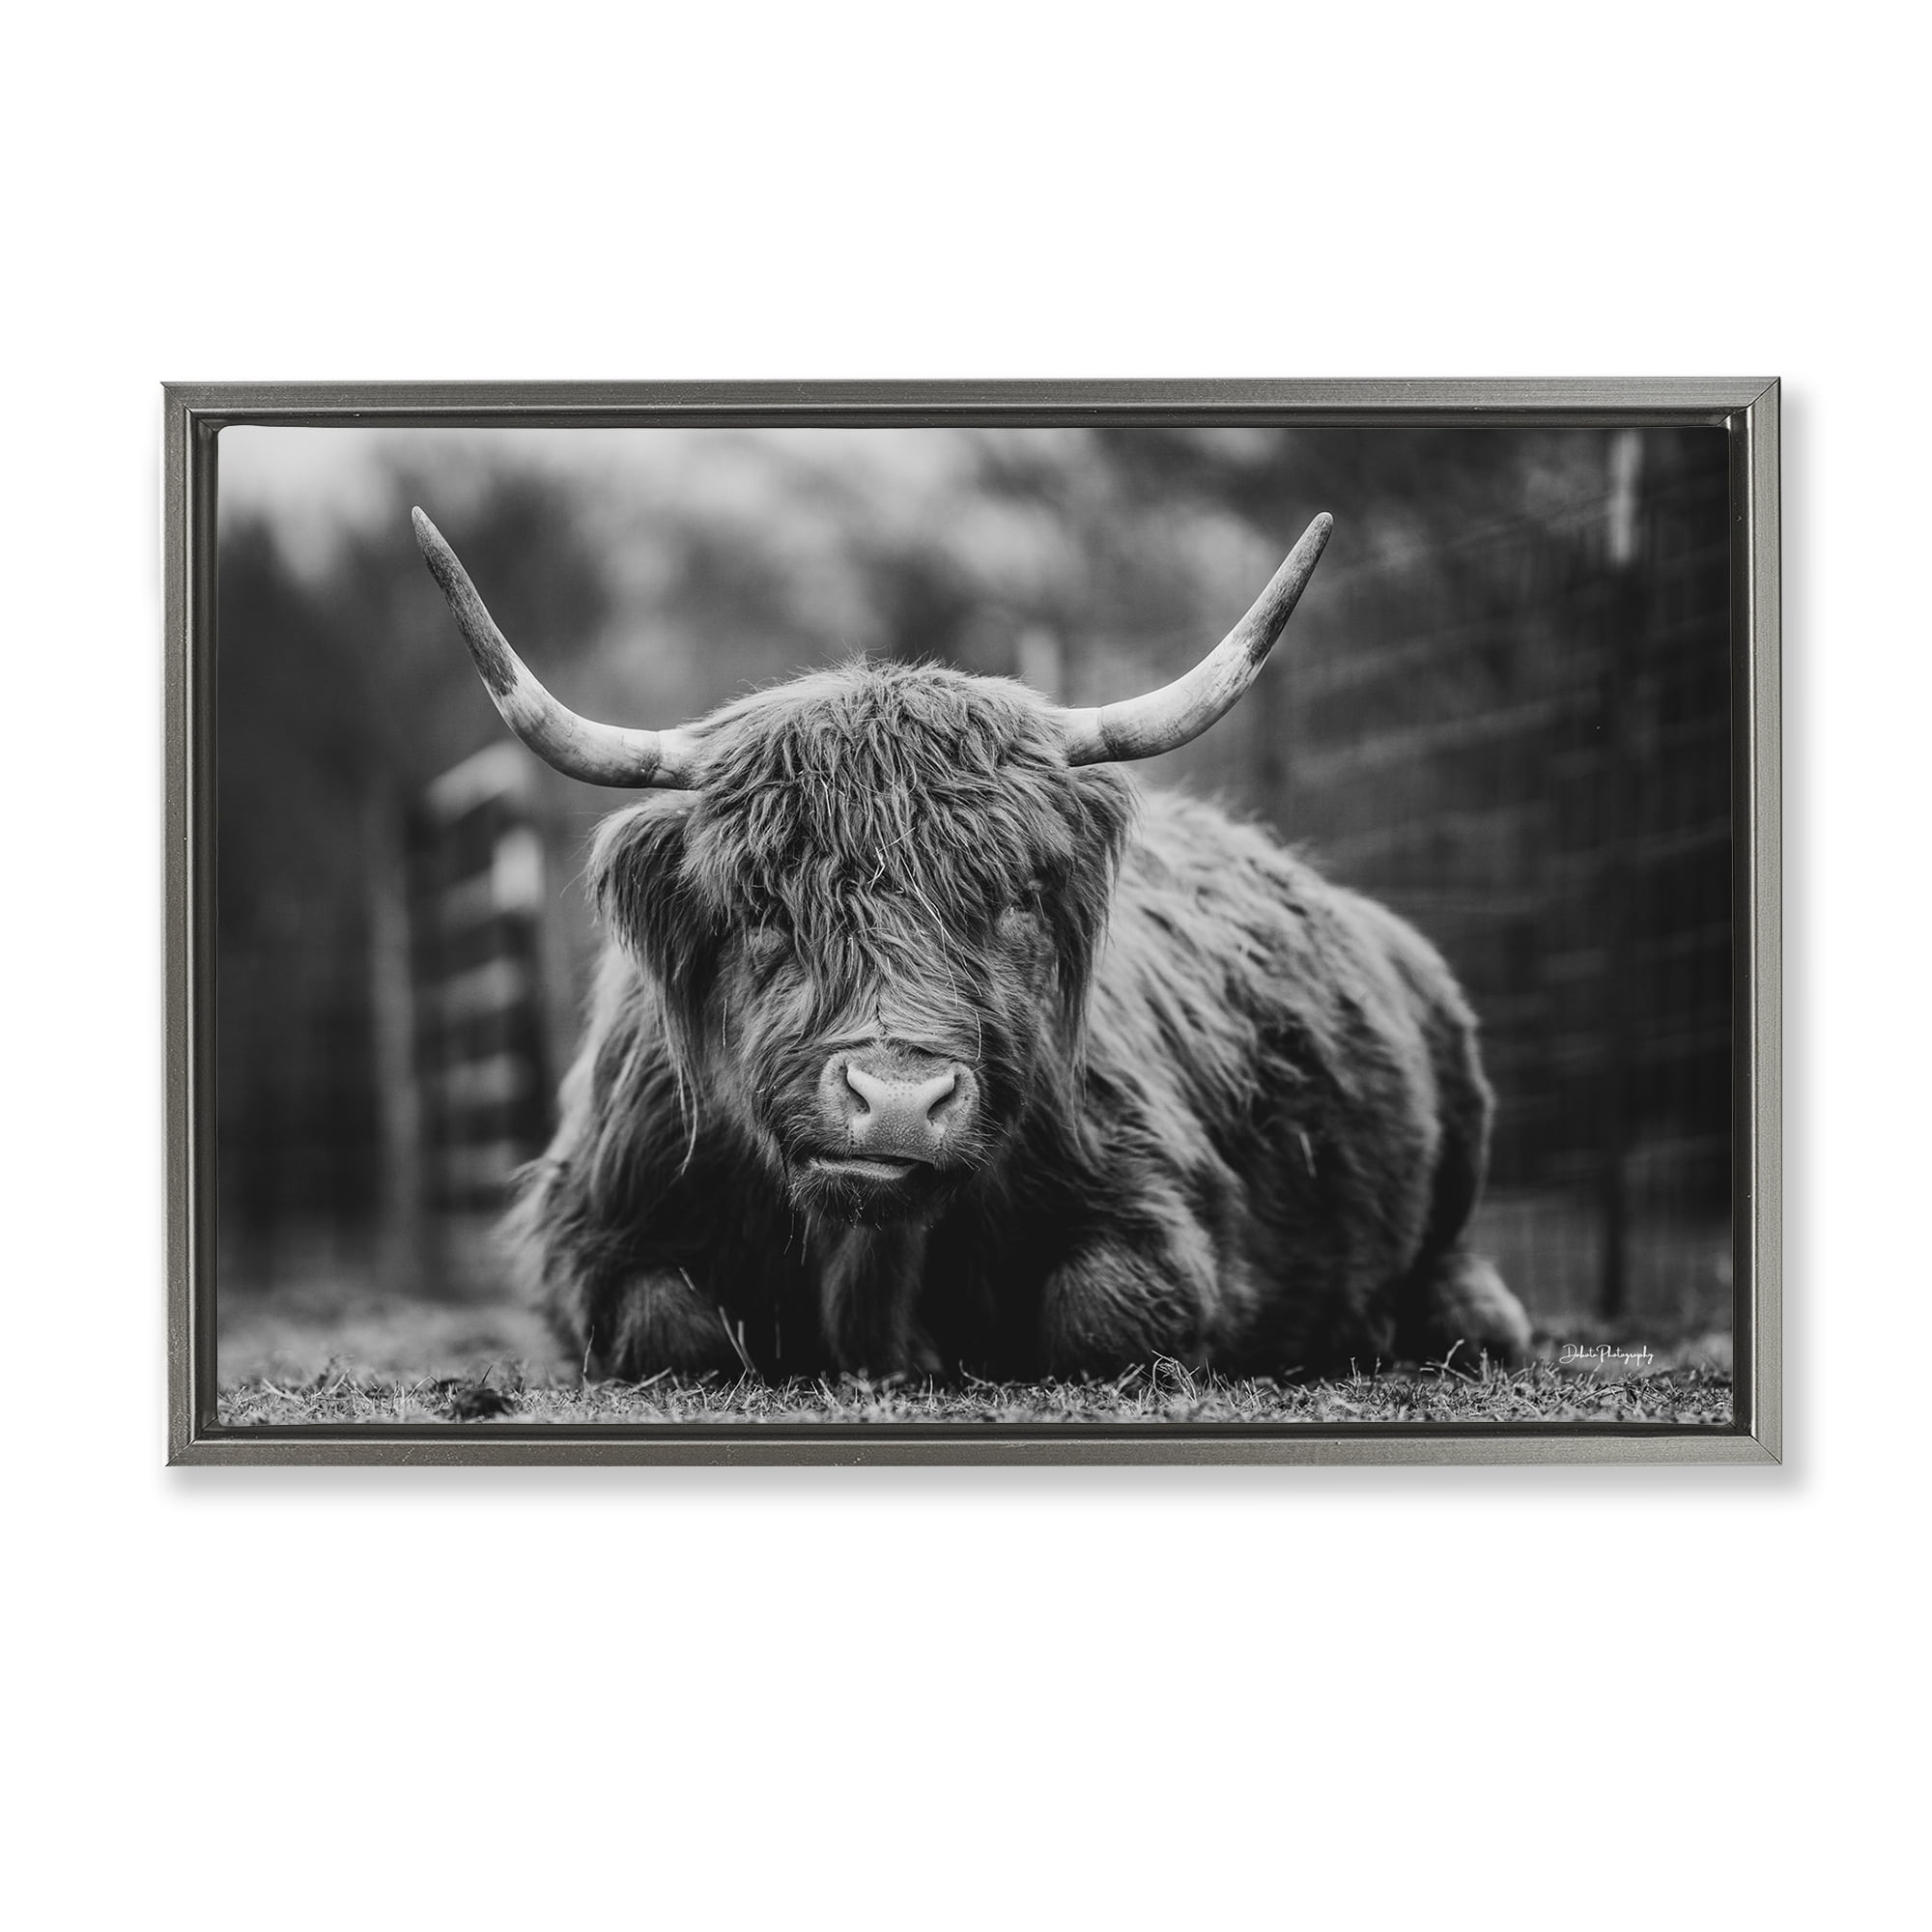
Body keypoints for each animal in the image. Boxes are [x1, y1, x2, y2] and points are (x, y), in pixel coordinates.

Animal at [413, 505, 1533, 1382]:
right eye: (765, 904)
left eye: (1011, 901)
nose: (899, 1100)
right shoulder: (592, 1233)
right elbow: (665, 1327)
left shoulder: (1159, 1217)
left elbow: (1101, 1313)